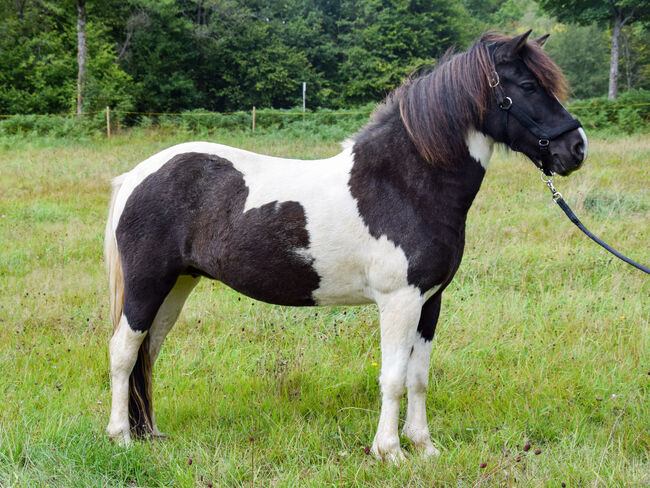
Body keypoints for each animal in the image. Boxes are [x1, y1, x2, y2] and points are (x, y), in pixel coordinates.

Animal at [104, 30, 588, 462]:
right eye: (528, 86)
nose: (576, 149)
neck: (403, 184)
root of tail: (136, 176)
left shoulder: (430, 300)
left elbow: (418, 377)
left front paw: (424, 447)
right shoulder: (399, 301)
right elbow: (392, 378)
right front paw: (390, 452)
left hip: (177, 286)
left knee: (149, 352)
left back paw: (149, 434)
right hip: (148, 284)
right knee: (125, 351)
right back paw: (121, 439)